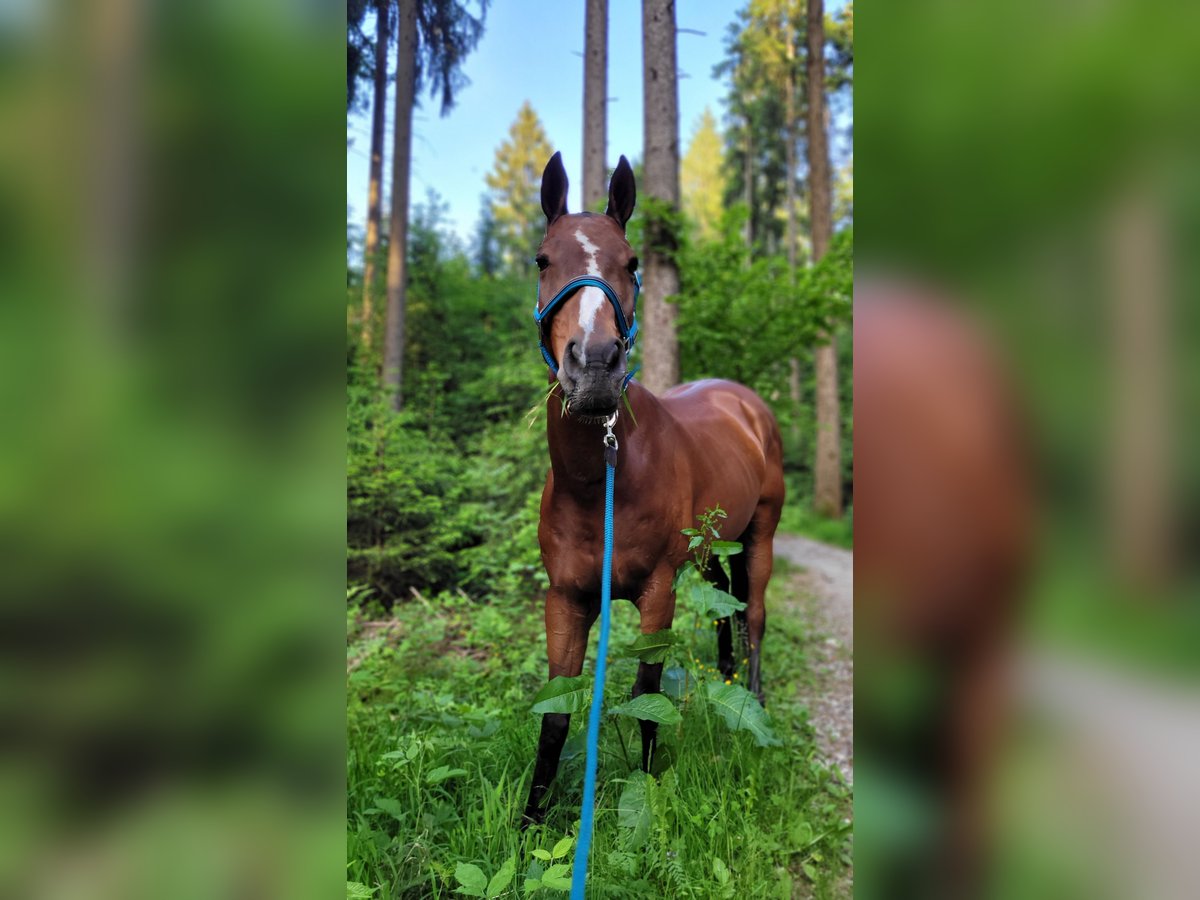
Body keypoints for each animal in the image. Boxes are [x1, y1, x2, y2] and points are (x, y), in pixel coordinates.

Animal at [523, 153, 787, 825]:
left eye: (633, 261)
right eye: (542, 260)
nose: (594, 366)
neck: (603, 483)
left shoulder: (656, 593)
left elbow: (645, 696)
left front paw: (647, 791)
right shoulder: (564, 599)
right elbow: (555, 713)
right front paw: (530, 820)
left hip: (761, 533)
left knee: (755, 614)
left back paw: (751, 697)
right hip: (712, 548)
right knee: (726, 605)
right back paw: (724, 681)